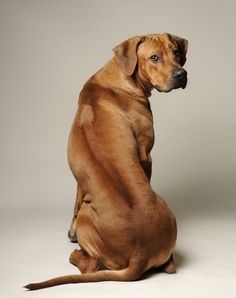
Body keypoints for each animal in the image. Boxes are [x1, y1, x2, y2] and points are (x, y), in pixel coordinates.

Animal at [24, 33, 188, 292]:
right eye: (154, 57)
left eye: (176, 53)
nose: (182, 74)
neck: (121, 77)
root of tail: (140, 255)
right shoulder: (145, 156)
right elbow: (76, 199)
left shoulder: (141, 157)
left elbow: (76, 199)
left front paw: (71, 234)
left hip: (90, 218)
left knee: (92, 264)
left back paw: (75, 254)